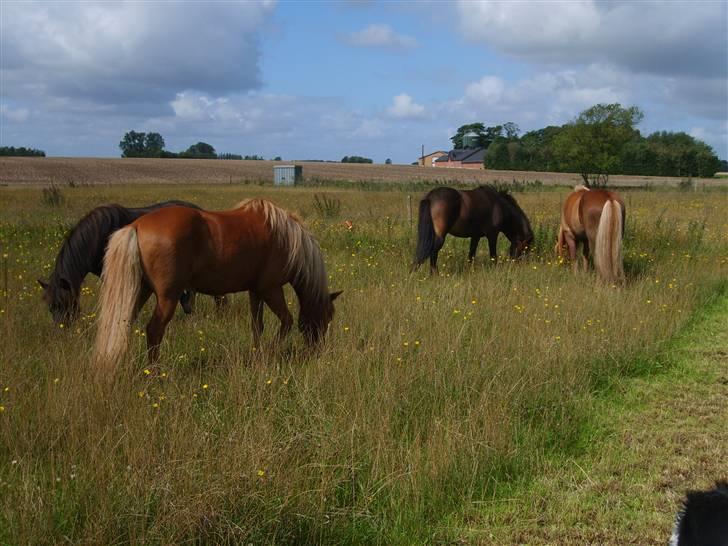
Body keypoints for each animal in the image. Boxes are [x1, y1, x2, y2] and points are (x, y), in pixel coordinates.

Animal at [94, 198, 342, 372]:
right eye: (326, 317)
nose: (317, 351)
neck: (287, 240)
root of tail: (136, 225)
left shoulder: (256, 291)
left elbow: (257, 326)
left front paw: (257, 355)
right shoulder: (271, 289)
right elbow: (286, 321)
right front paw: (271, 352)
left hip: (140, 291)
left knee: (122, 323)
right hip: (167, 297)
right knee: (154, 330)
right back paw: (154, 373)